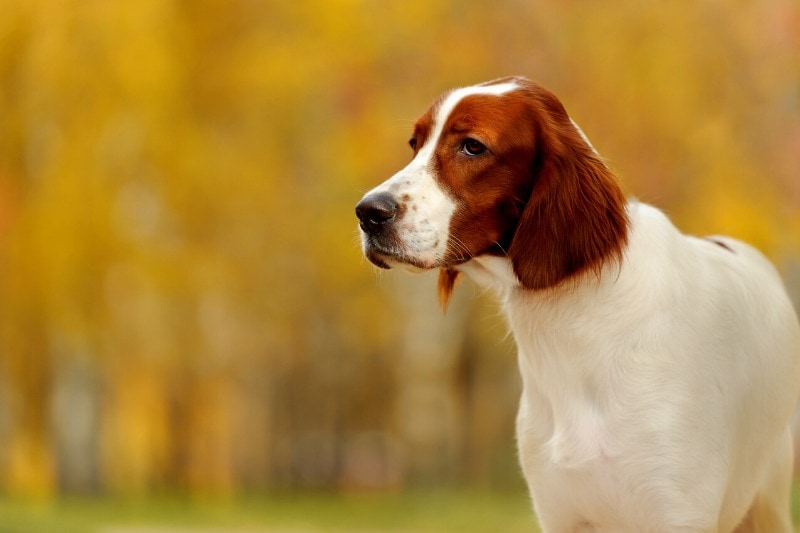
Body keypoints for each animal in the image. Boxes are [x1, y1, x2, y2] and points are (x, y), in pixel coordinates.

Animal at [356, 77, 800, 528]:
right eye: (415, 144)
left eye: (473, 146)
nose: (367, 212)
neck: (575, 326)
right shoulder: (560, 513)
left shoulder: (677, 512)